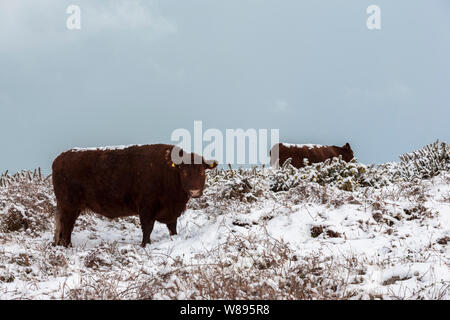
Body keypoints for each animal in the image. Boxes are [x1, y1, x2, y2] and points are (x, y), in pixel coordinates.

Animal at [52, 144, 218, 248]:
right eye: (183, 171)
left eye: (202, 171)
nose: (195, 191)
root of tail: (59, 159)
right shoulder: (146, 208)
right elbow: (147, 228)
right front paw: (145, 245)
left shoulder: (171, 213)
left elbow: (172, 228)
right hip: (69, 207)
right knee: (67, 227)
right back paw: (68, 246)